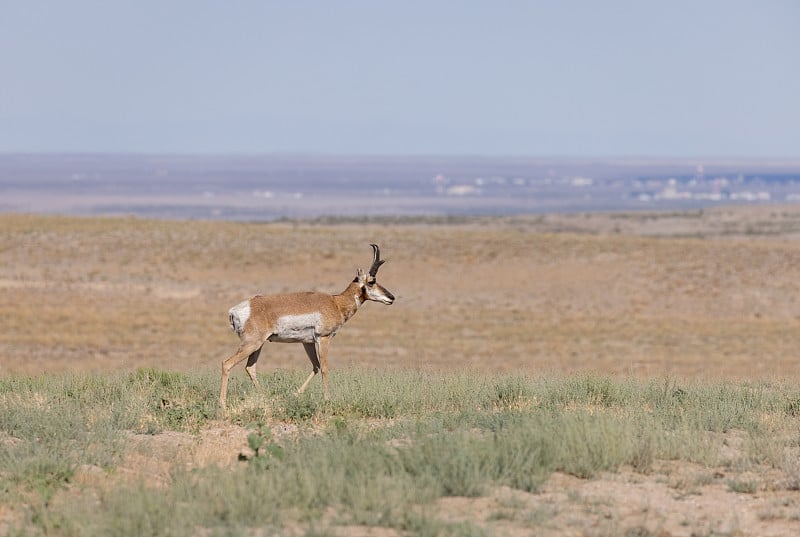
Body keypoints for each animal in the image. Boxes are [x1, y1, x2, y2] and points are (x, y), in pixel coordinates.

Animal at [219, 243, 394, 406]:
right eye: (371, 281)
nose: (391, 298)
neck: (336, 302)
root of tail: (236, 309)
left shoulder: (307, 342)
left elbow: (315, 366)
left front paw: (295, 394)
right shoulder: (324, 338)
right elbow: (324, 367)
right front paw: (327, 398)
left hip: (258, 345)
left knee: (250, 368)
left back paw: (266, 398)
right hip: (252, 344)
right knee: (227, 364)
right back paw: (222, 403)